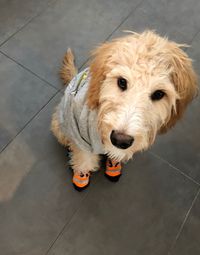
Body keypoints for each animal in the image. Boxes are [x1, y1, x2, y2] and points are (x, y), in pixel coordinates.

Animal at [50, 29, 198, 190]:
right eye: (122, 81)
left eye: (159, 94)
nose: (120, 140)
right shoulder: (80, 138)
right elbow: (84, 160)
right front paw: (81, 175)